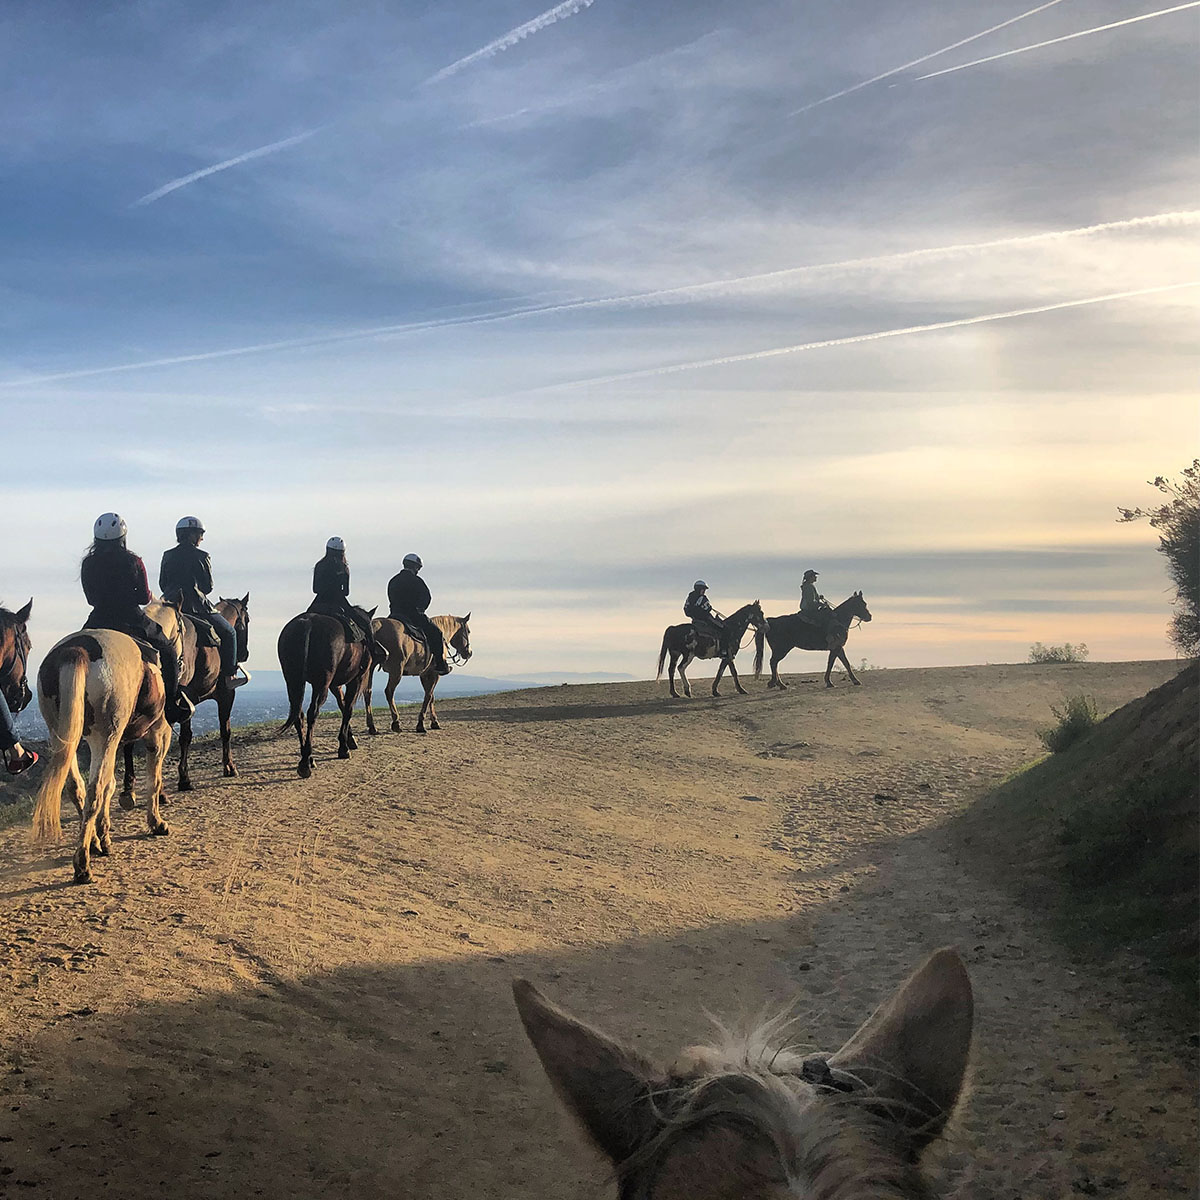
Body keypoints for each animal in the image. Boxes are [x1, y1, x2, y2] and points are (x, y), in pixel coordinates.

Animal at [32, 630, 172, 884]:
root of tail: (76, 650)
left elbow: (111, 785)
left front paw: (103, 835)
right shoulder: (158, 733)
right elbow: (153, 781)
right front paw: (156, 823)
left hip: (63, 735)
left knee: (77, 787)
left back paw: (94, 844)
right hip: (105, 737)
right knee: (94, 789)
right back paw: (83, 865)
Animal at [123, 595, 251, 798]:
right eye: (247, 620)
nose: (244, 654)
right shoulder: (225, 695)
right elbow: (222, 731)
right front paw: (228, 768)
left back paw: (130, 789)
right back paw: (157, 791)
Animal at [277, 607, 378, 778]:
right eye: (370, 627)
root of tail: (308, 624)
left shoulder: (334, 685)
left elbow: (342, 705)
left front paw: (349, 739)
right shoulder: (355, 680)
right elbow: (348, 709)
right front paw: (344, 747)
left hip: (293, 682)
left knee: (298, 714)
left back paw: (308, 758)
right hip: (321, 684)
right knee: (312, 713)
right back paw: (306, 762)